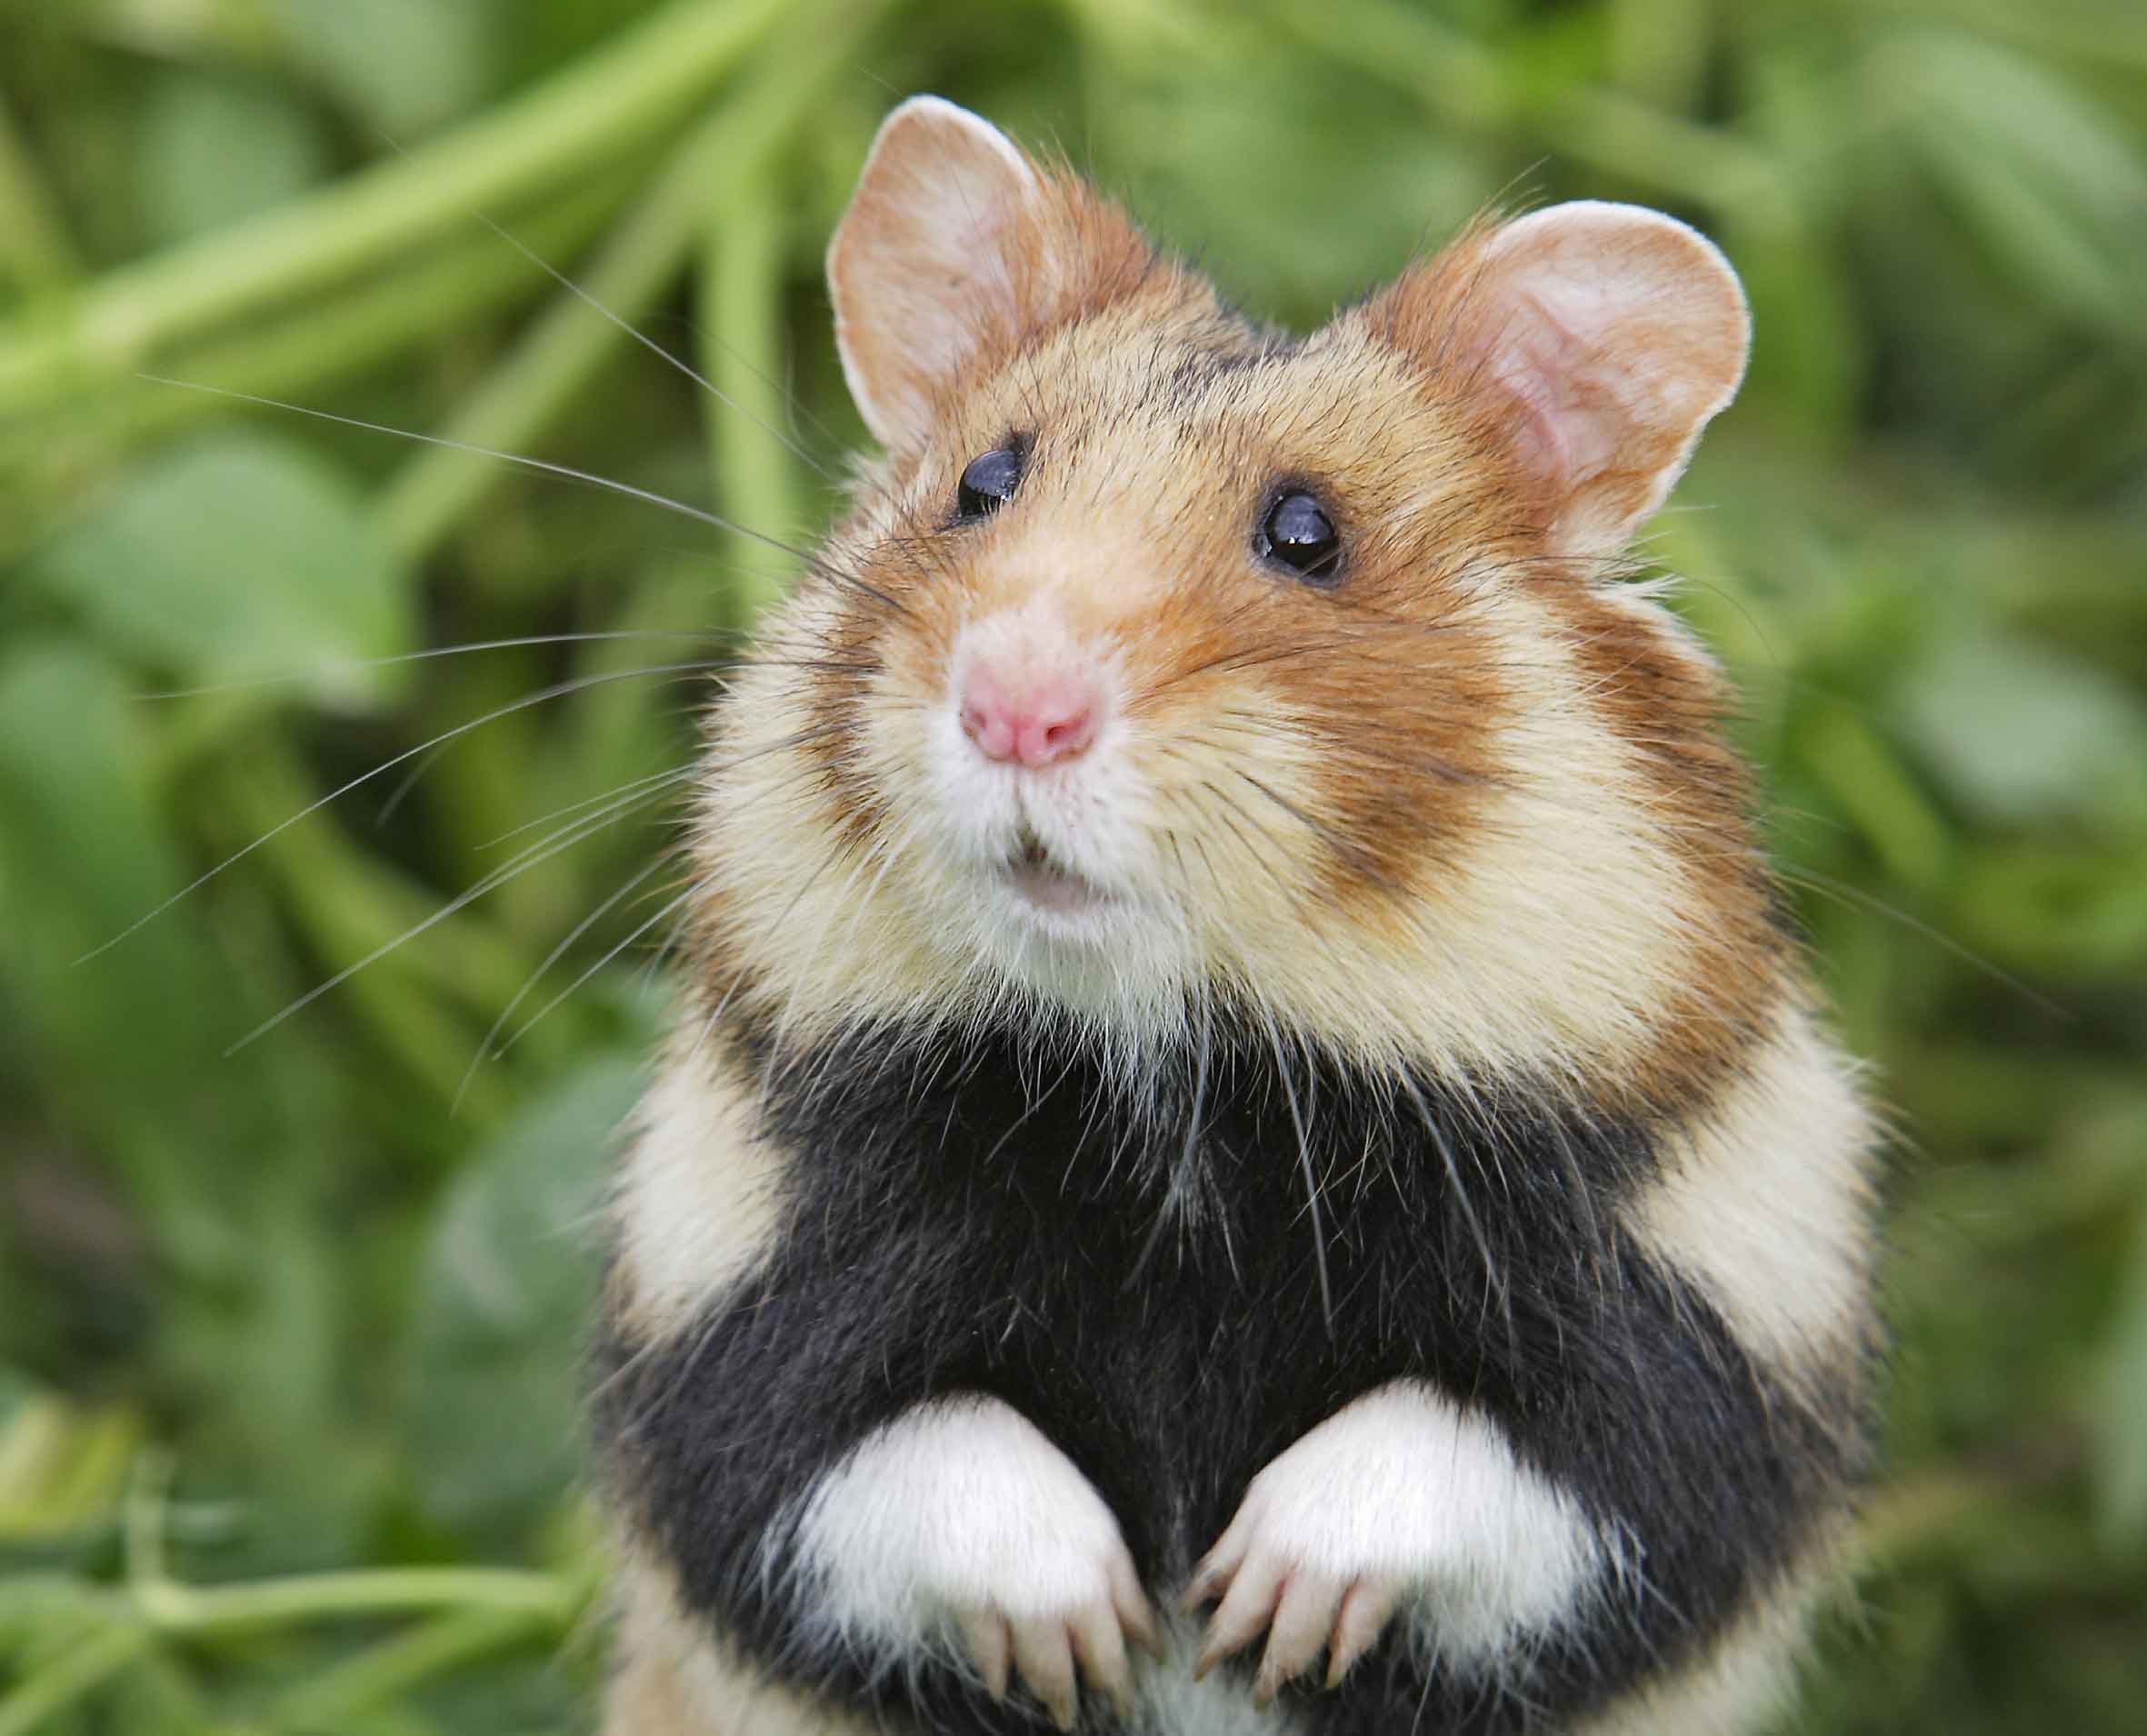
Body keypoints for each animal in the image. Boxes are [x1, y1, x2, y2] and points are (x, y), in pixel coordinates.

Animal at [590, 95, 1882, 1736]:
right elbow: (913, 1453)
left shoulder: (1690, 1353)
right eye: (981, 485)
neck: (1176, 1085)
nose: (1016, 706)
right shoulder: (735, 1317)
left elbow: (1464, 1445)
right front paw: (1093, 1633)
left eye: (1305, 532)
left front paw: (1255, 1613)